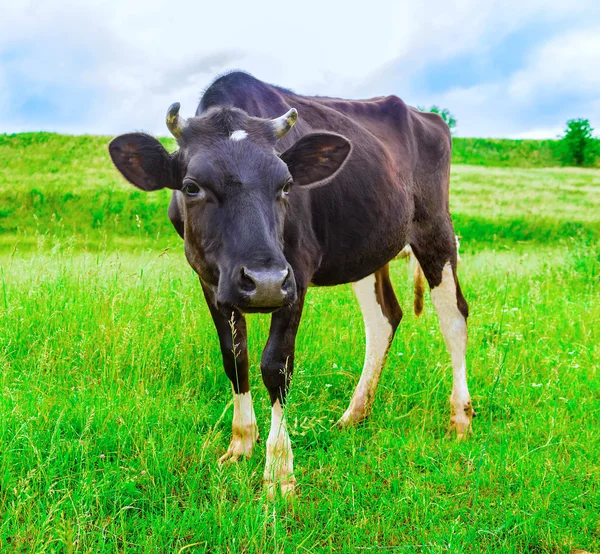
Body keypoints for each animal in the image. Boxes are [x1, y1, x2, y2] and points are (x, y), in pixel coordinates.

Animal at [108, 71, 474, 498]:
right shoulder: (208, 276)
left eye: (286, 185)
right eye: (191, 186)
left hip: (435, 227)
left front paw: (279, 472)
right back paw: (354, 414)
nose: (265, 282)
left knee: (453, 317)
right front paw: (240, 443)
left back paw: (460, 418)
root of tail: (428, 118)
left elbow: (275, 364)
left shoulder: (295, 270)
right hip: (368, 246)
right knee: (384, 317)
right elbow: (235, 356)